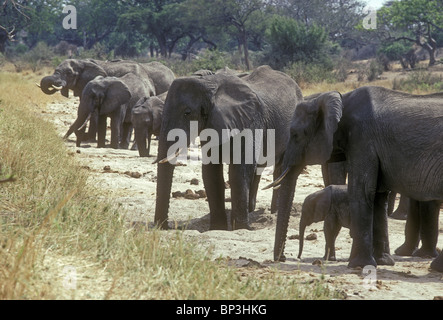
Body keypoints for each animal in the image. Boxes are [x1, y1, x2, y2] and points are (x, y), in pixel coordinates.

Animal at [154, 65, 304, 230]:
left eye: (187, 113)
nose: (165, 227)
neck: (209, 84)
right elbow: (211, 171)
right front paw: (218, 228)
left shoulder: (250, 121)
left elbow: (239, 170)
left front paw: (240, 228)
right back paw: (251, 211)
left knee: (279, 168)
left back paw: (273, 213)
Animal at [266, 86, 442, 272]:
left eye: (295, 134)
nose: (282, 258)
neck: (342, 99)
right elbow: (378, 197)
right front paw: (382, 262)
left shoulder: (362, 139)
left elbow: (361, 191)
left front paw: (359, 265)